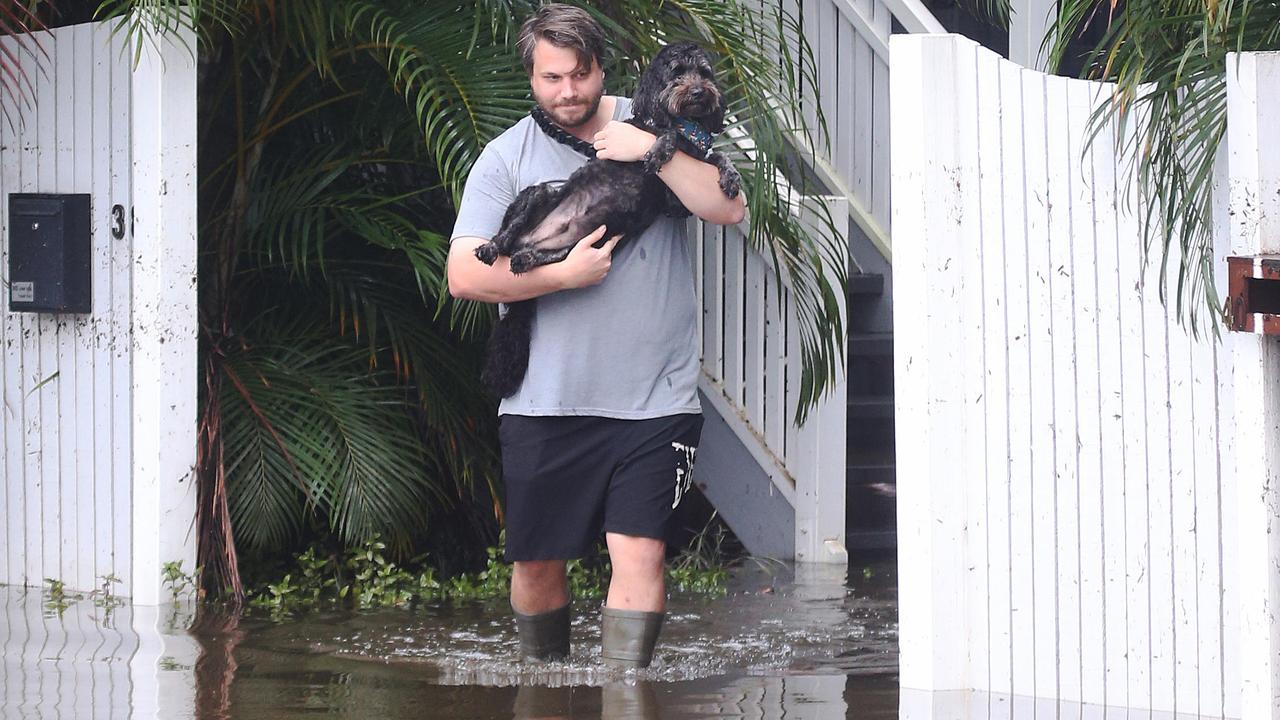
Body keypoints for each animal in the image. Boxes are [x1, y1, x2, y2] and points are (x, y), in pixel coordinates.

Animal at [478, 43, 742, 397]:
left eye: (704, 72)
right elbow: (667, 137)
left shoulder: (677, 200)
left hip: (586, 242)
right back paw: (492, 249)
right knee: (506, 235)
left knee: (545, 257)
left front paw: (730, 177)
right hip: (539, 194)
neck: (686, 124)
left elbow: (718, 156)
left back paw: (527, 258)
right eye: (676, 73)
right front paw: (659, 150)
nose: (700, 92)